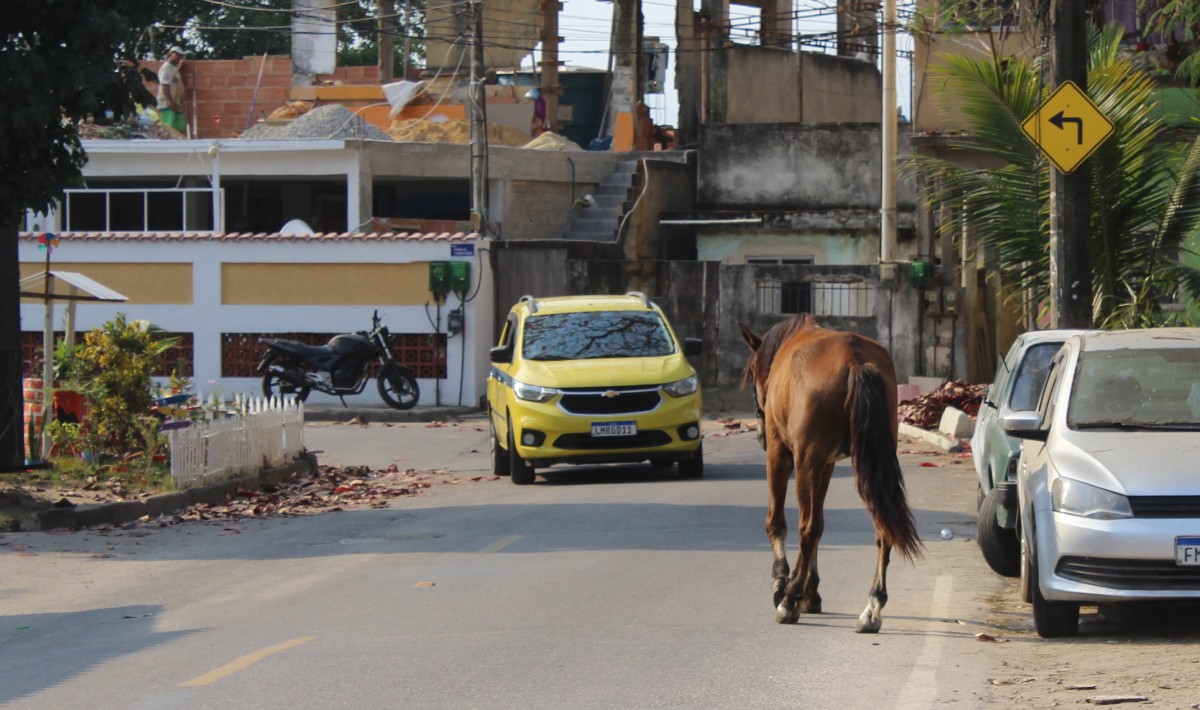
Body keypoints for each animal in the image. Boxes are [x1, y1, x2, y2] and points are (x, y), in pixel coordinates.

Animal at [739, 316, 916, 633]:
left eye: (752, 373)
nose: (759, 433)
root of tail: (856, 359)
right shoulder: (826, 464)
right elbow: (821, 524)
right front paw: (811, 592)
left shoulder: (782, 454)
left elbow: (780, 523)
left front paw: (782, 583)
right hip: (870, 463)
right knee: (881, 528)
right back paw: (872, 606)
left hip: (804, 461)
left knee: (806, 528)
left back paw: (789, 599)